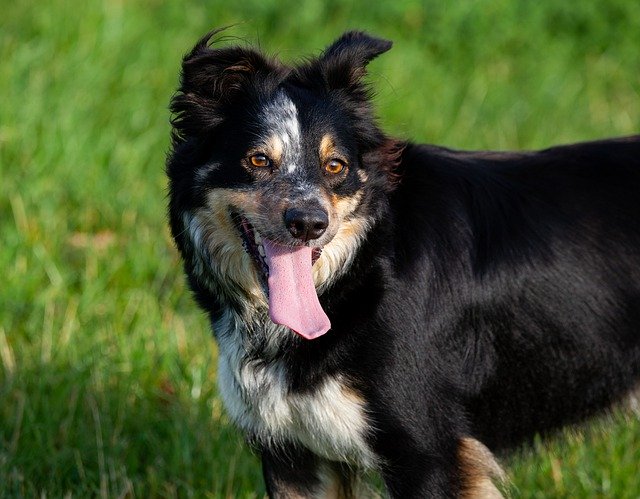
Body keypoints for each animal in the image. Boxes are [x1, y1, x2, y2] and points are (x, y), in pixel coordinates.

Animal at [166, 29, 640, 498]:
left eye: (335, 165)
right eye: (258, 160)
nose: (309, 224)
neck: (360, 271)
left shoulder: (427, 451)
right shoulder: (293, 455)